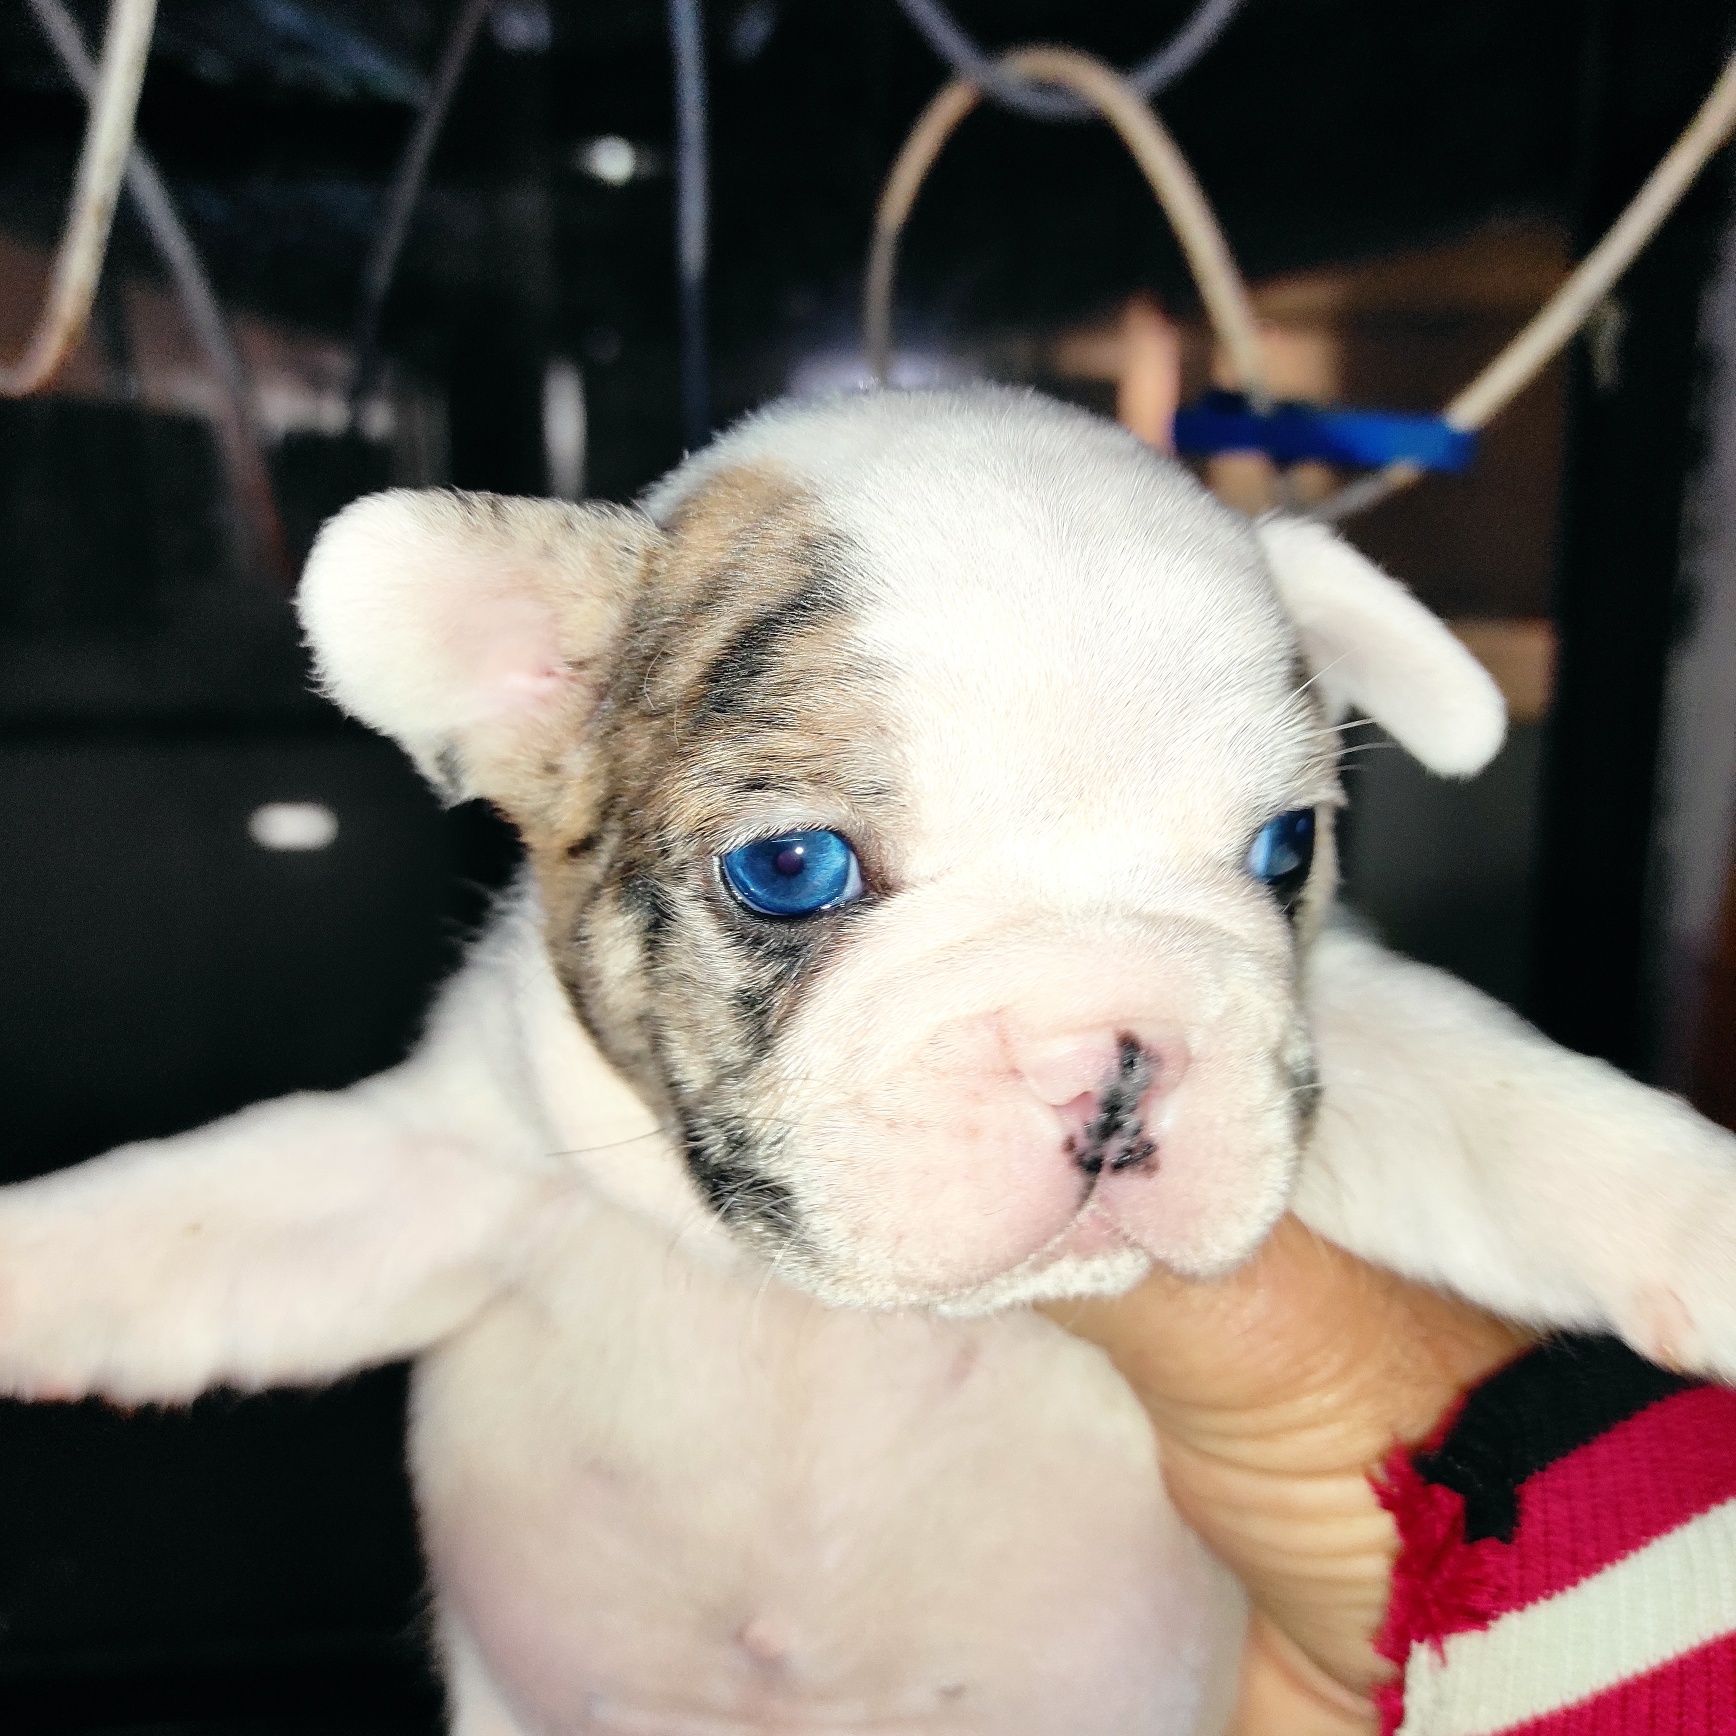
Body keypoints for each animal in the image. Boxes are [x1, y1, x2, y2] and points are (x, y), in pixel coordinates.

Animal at [6, 387, 1729, 1729]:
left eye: (1287, 848)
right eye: (792, 870)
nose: (1113, 1048)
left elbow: (1512, 1107)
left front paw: (1701, 1222)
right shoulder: (452, 1172)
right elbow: (192, 1220)